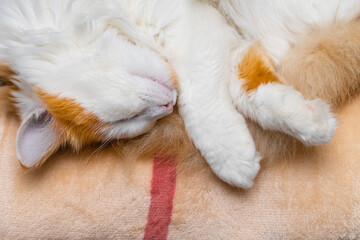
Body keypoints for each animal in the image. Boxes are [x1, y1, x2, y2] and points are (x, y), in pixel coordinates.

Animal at [0, 0, 358, 188]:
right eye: (132, 124)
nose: (166, 105)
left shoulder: (184, 21)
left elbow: (199, 101)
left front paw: (230, 156)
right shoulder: (223, 35)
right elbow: (247, 89)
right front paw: (310, 121)